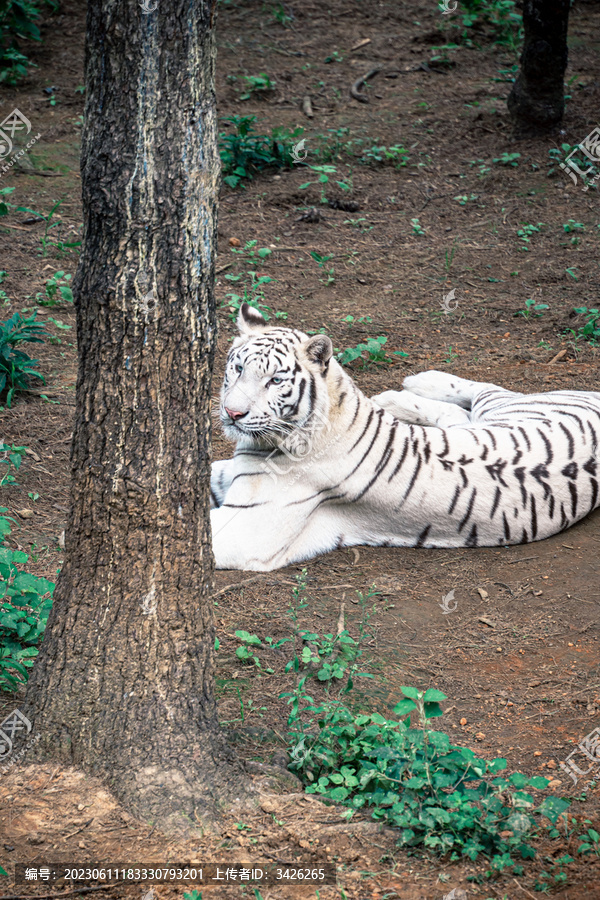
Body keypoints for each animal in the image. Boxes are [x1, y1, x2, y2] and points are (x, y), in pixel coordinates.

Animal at [210, 302, 600, 568]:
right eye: (238, 367)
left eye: (275, 380)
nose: (233, 413)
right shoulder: (235, 473)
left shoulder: (248, 527)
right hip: (479, 423)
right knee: (458, 412)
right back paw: (397, 394)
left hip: (509, 403)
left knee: (487, 388)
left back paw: (418, 380)